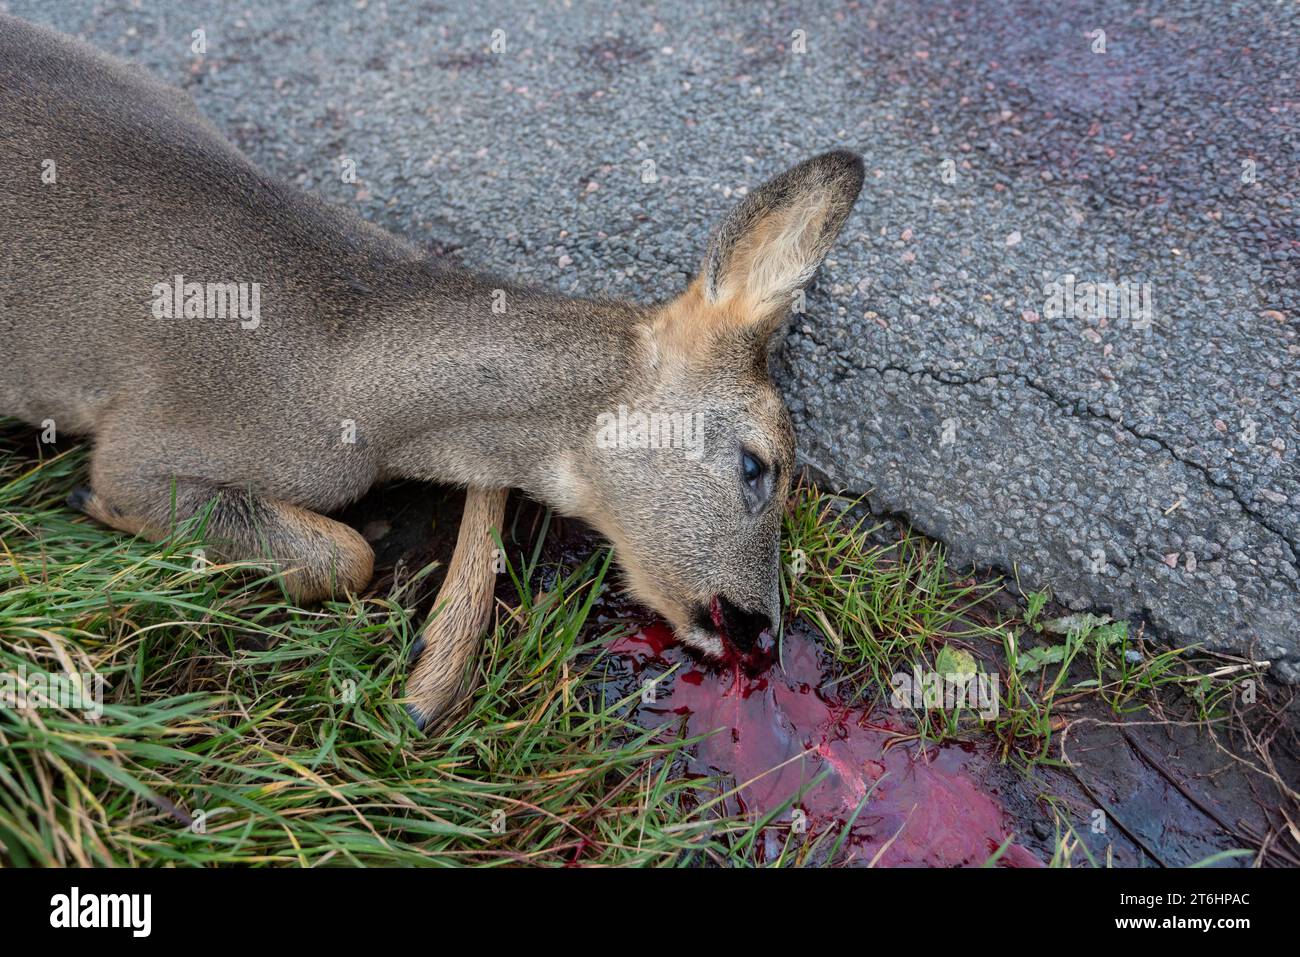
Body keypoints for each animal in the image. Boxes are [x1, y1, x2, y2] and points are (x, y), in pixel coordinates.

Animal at [0, 14, 865, 726]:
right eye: (757, 465)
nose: (760, 628)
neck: (349, 373)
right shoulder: (150, 439)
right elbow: (345, 554)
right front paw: (95, 505)